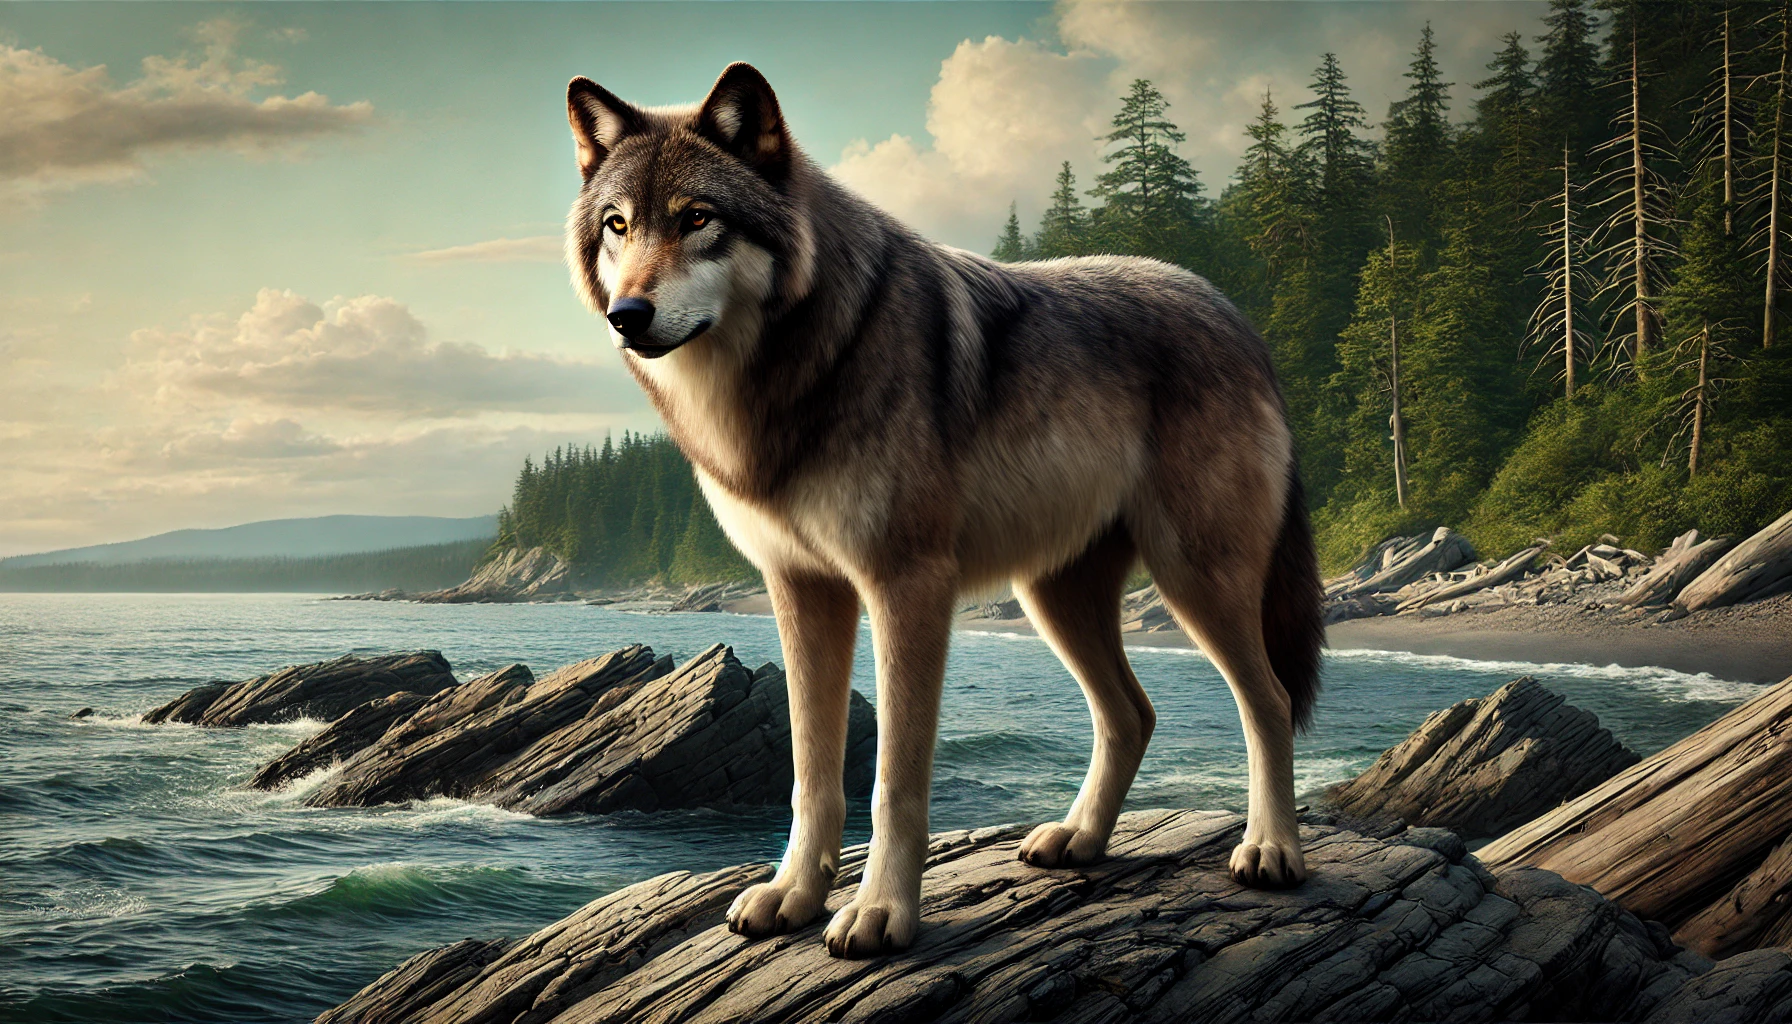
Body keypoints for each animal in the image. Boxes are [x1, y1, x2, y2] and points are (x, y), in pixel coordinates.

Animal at [563, 63, 1323, 958]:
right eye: (618, 225)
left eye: (696, 219)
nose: (628, 316)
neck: (797, 366)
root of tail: (1239, 317)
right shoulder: (801, 589)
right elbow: (812, 774)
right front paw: (793, 895)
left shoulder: (907, 586)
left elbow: (892, 781)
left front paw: (881, 913)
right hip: (1055, 597)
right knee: (1131, 714)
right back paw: (1079, 840)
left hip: (1194, 578)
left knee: (1268, 702)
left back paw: (1271, 851)